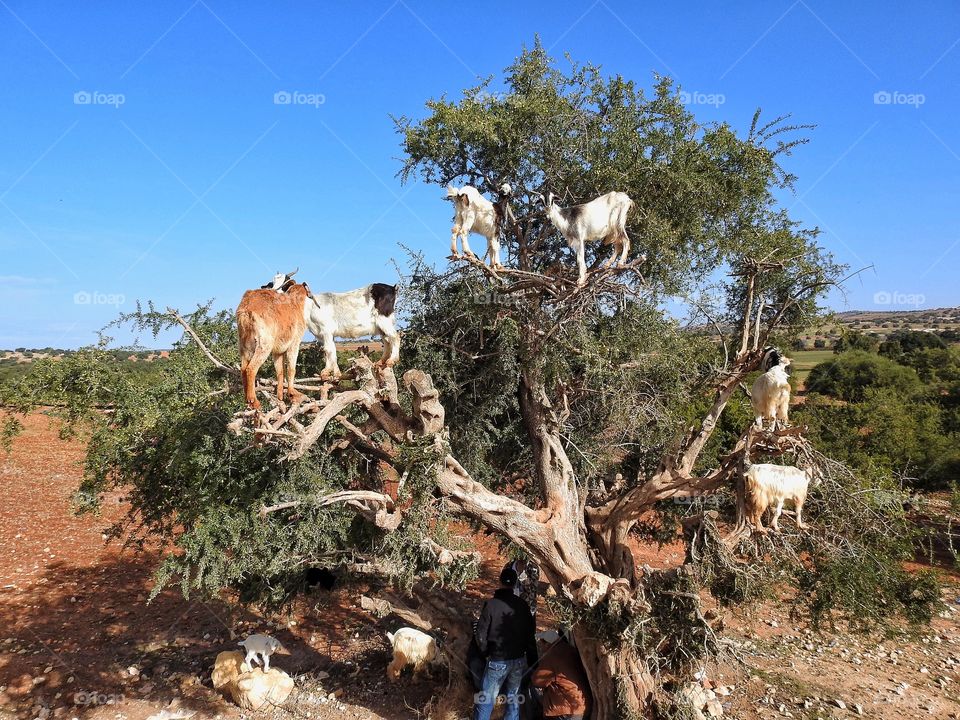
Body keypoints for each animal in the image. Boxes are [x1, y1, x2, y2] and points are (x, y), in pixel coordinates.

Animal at [237, 280, 311, 409]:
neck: (295, 304)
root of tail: (246, 309)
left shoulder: (278, 351)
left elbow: (280, 371)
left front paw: (280, 396)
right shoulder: (294, 344)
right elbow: (291, 369)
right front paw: (292, 393)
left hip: (245, 345)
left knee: (243, 368)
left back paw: (247, 400)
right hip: (264, 345)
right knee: (251, 369)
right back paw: (254, 401)